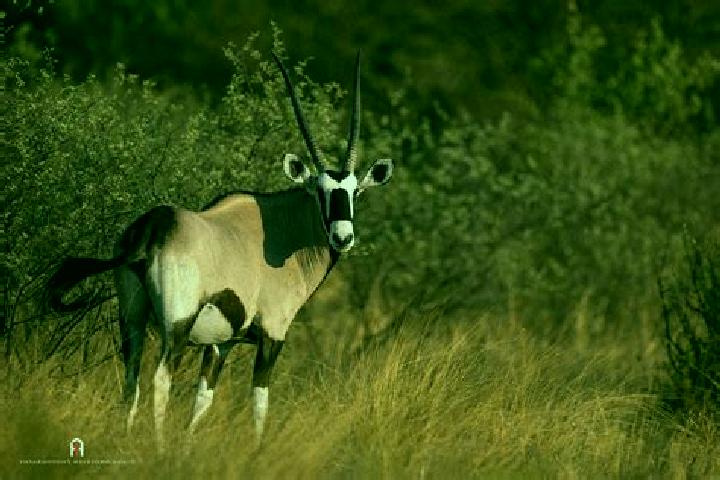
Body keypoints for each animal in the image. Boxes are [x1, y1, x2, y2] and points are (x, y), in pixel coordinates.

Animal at [47, 51, 393, 447]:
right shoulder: (272, 335)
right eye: (320, 191)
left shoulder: (220, 344)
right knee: (160, 378)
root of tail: (154, 227)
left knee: (131, 379)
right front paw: (257, 450)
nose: (342, 237)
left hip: (132, 317)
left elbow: (202, 401)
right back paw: (158, 446)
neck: (282, 228)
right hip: (176, 324)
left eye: (355, 192)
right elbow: (259, 402)